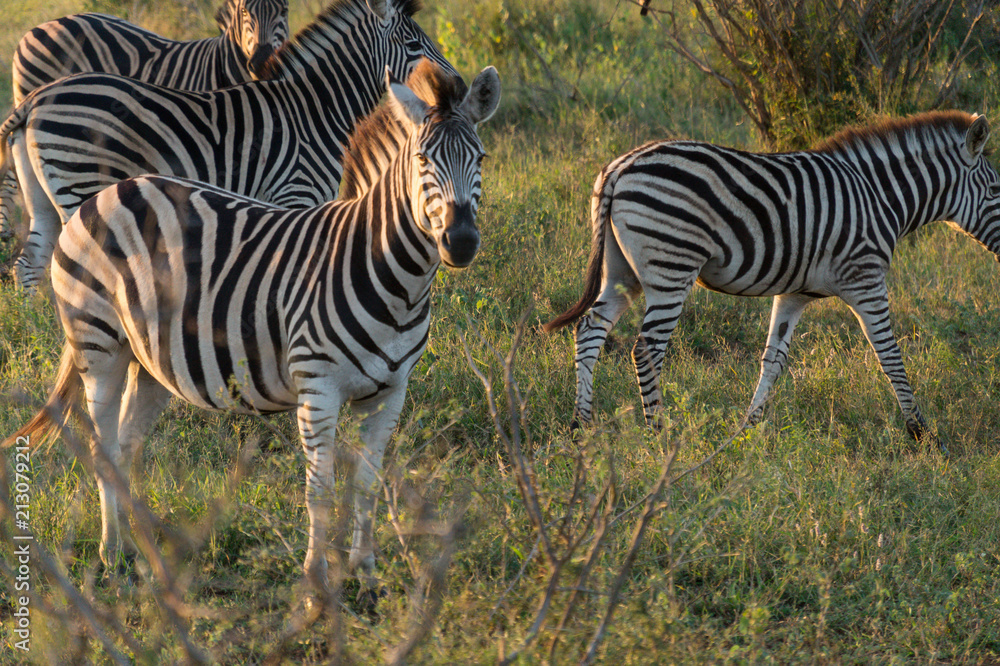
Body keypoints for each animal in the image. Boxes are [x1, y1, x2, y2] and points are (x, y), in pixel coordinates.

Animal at [5, 59, 501, 585]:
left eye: (481, 158)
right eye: (423, 161)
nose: (461, 242)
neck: (390, 277)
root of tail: (110, 192)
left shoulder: (390, 394)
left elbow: (367, 484)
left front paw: (366, 575)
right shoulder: (317, 387)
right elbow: (319, 489)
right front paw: (317, 582)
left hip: (149, 359)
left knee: (126, 445)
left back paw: (143, 555)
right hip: (98, 341)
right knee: (103, 449)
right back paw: (112, 557)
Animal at [543, 111, 1000, 442]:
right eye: (998, 192)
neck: (880, 198)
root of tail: (619, 168)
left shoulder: (794, 293)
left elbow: (773, 360)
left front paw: (747, 431)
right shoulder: (866, 279)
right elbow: (889, 354)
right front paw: (921, 434)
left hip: (623, 271)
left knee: (591, 328)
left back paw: (581, 424)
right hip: (671, 266)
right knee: (647, 348)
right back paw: (659, 433)